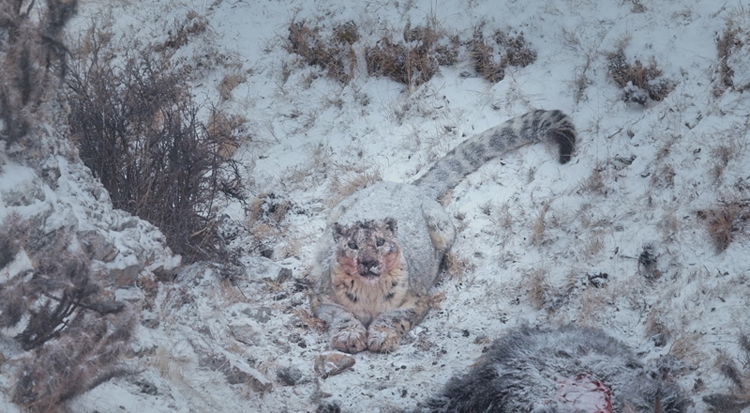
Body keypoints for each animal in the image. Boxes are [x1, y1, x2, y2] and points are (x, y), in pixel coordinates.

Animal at [312, 111, 576, 352]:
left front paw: (381, 338)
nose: (367, 262)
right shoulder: (324, 297)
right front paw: (348, 337)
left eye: (380, 242)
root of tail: (406, 186)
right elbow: (341, 315)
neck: (370, 294)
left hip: (443, 229)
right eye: (352, 245)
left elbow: (392, 317)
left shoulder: (414, 300)